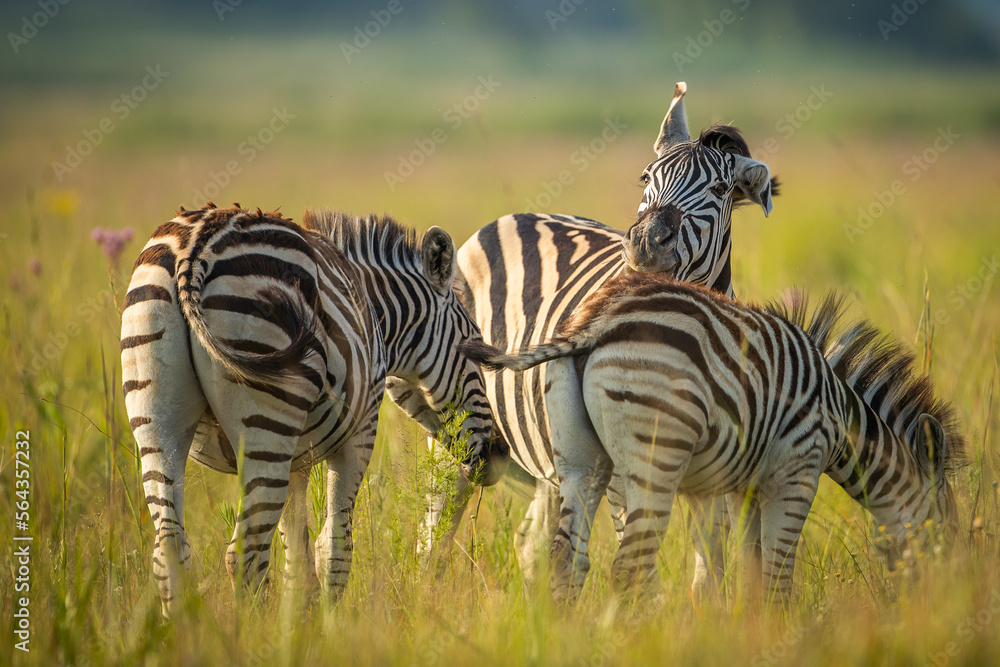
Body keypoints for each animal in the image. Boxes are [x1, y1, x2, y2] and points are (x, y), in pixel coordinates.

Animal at [121, 202, 500, 616]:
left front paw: (299, 624)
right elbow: (333, 547)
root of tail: (198, 241)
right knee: (245, 553)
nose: (497, 453)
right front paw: (329, 626)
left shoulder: (296, 462)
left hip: (157, 417)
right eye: (476, 349)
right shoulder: (360, 432)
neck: (376, 313)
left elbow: (298, 561)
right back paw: (246, 632)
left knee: (171, 549)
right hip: (266, 416)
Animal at [421, 82, 777, 589]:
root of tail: (518, 216)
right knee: (436, 529)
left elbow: (713, 564)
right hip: (459, 429)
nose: (647, 242)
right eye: (646, 177)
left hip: (553, 456)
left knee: (531, 543)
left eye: (720, 189)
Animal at [462, 272, 963, 603]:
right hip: (656, 456)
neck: (840, 415)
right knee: (629, 568)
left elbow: (747, 567)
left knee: (566, 557)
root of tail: (595, 322)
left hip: (581, 462)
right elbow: (777, 576)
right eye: (949, 528)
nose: (947, 595)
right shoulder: (797, 472)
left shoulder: (741, 486)